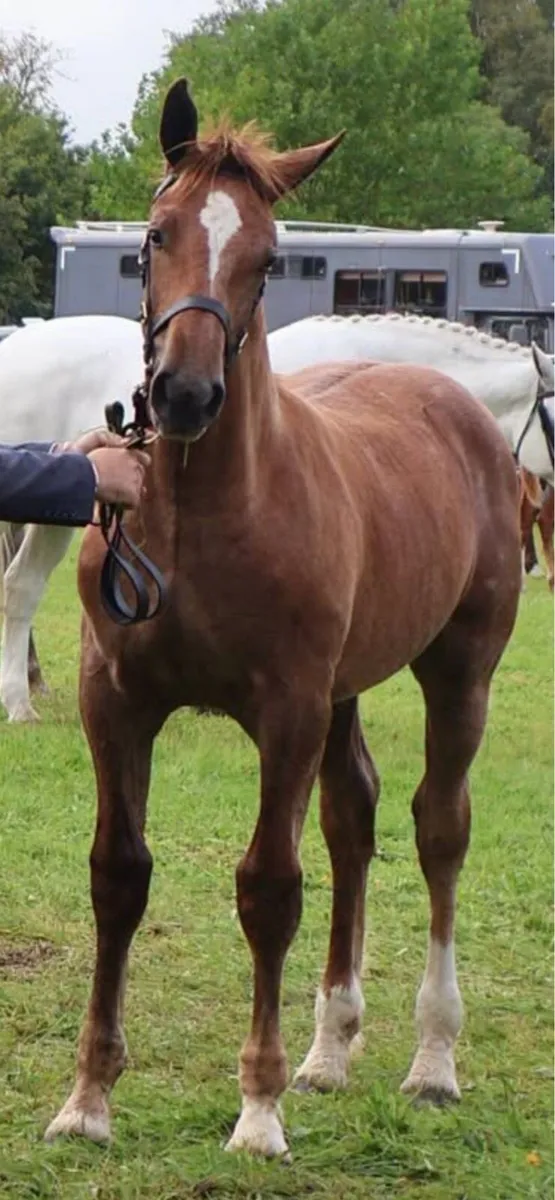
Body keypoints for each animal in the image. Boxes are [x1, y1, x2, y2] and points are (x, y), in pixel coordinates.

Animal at [45, 79, 521, 1158]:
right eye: (155, 236)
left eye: (268, 257)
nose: (183, 393)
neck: (200, 520)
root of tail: (458, 407)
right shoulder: (115, 704)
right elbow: (116, 875)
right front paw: (88, 1100)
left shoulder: (287, 711)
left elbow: (268, 888)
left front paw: (257, 1111)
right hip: (347, 690)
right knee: (354, 817)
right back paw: (329, 1049)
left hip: (457, 671)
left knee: (439, 828)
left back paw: (431, 1061)